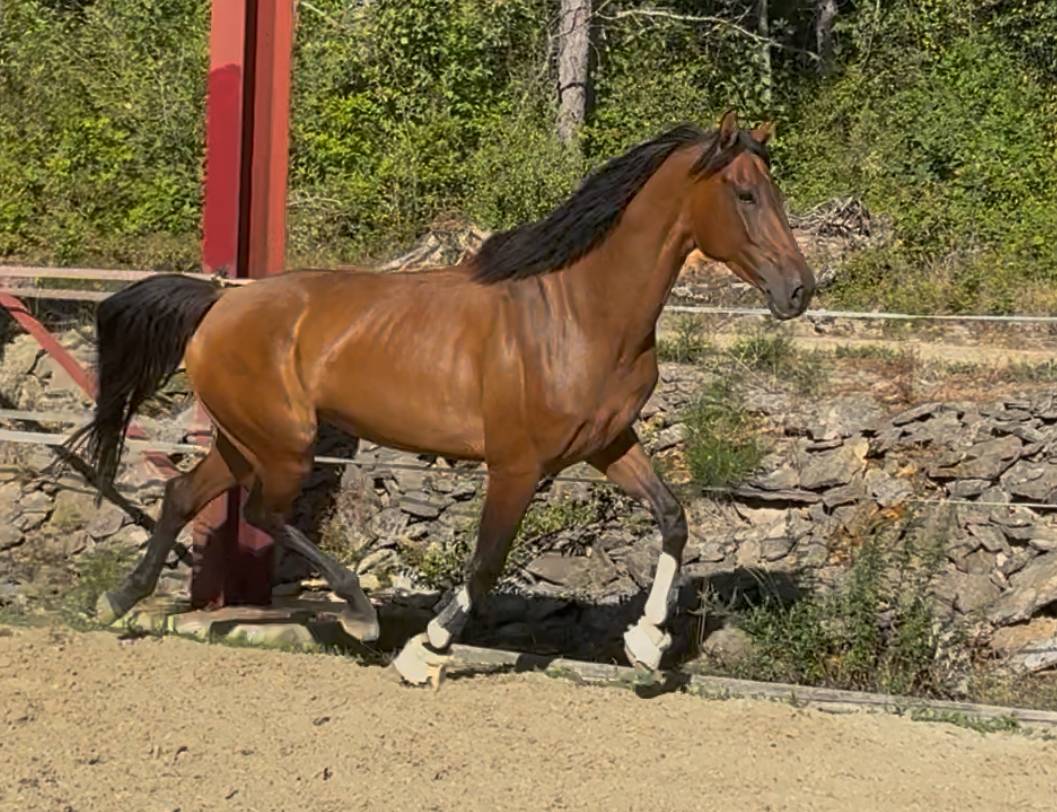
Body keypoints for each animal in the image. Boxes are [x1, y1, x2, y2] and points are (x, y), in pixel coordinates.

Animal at [69, 109, 814, 685]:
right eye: (745, 195)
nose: (800, 290)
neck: (579, 313)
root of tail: (220, 301)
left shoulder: (608, 444)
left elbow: (672, 517)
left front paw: (647, 644)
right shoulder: (517, 466)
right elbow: (485, 564)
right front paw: (424, 651)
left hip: (245, 440)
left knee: (182, 495)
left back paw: (117, 600)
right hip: (284, 445)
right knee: (261, 512)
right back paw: (360, 615)